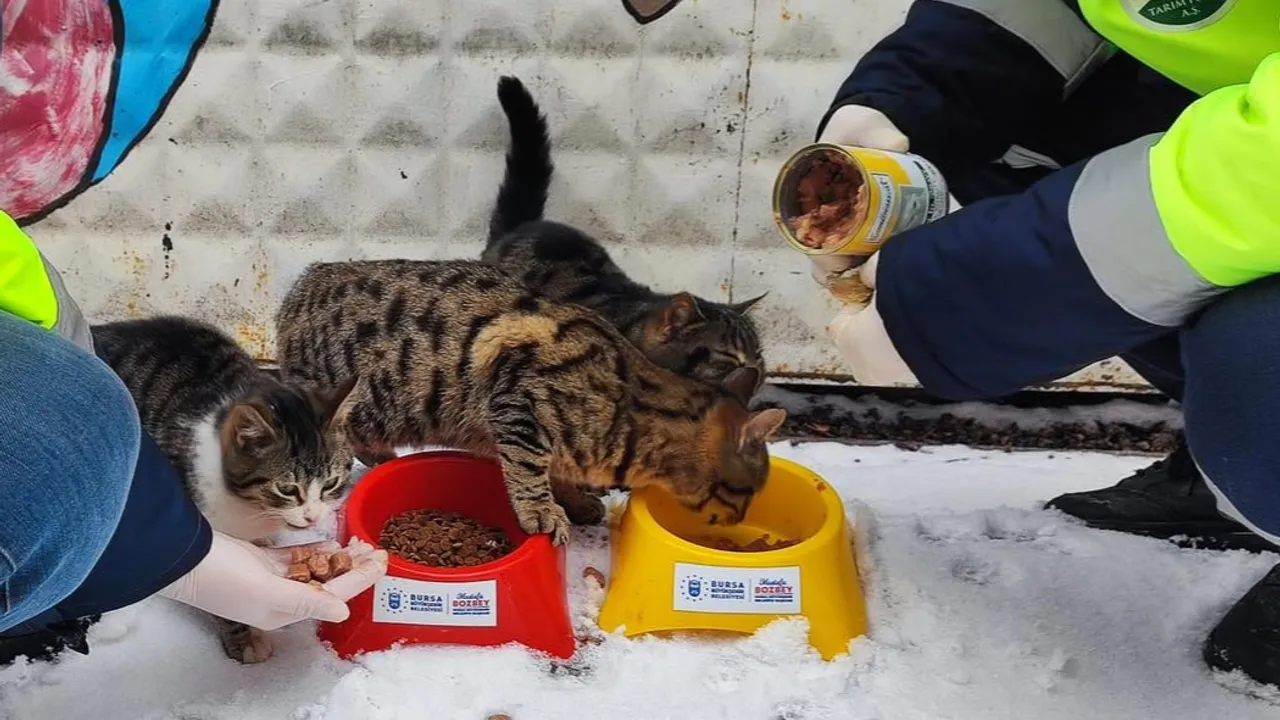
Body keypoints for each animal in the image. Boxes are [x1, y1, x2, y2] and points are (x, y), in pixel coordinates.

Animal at [275, 259, 788, 543]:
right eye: (747, 491)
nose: (739, 520)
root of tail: (302, 283)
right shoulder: (518, 401)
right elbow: (528, 468)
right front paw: (543, 511)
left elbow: (558, 472)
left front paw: (575, 502)